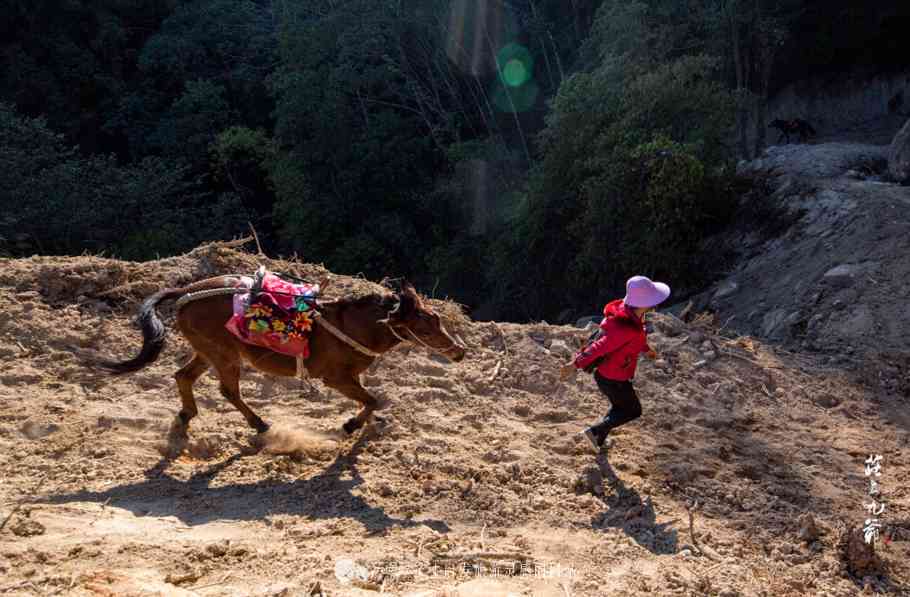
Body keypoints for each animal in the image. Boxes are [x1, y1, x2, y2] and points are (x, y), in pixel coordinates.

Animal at [92, 274, 466, 438]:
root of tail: (186, 292)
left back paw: (186, 415)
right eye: (426, 329)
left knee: (183, 376)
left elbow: (372, 401)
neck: (354, 323)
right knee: (228, 391)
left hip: (208, 351)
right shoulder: (336, 377)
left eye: (438, 319)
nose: (460, 351)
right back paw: (259, 423)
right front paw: (350, 424)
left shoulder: (352, 377)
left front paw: (362, 423)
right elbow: (373, 400)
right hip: (224, 355)